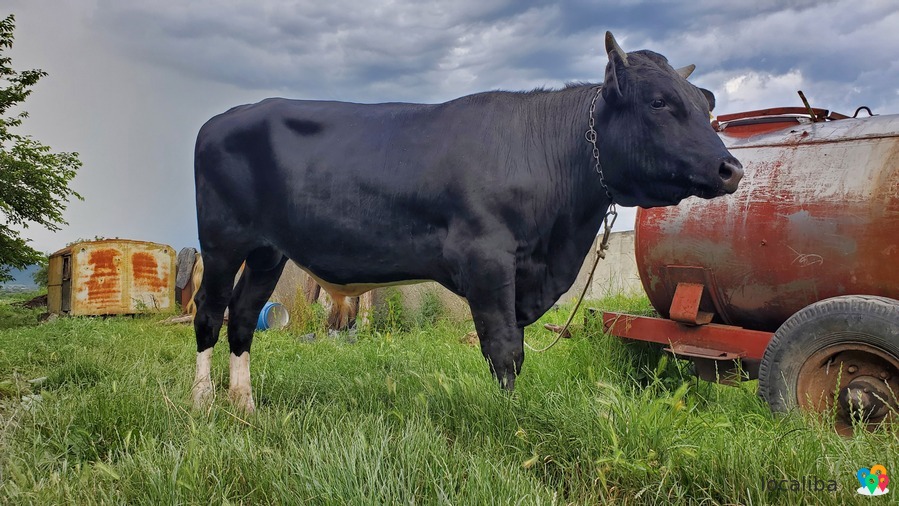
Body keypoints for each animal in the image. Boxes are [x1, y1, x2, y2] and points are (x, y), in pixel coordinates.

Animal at [192, 32, 744, 412]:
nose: (732, 169)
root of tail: (221, 119)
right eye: (658, 102)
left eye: (705, 103)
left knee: (243, 316)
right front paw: (510, 419)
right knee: (209, 312)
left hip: (268, 253)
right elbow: (504, 349)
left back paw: (245, 404)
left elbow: (513, 348)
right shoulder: (487, 258)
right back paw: (202, 403)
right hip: (221, 243)